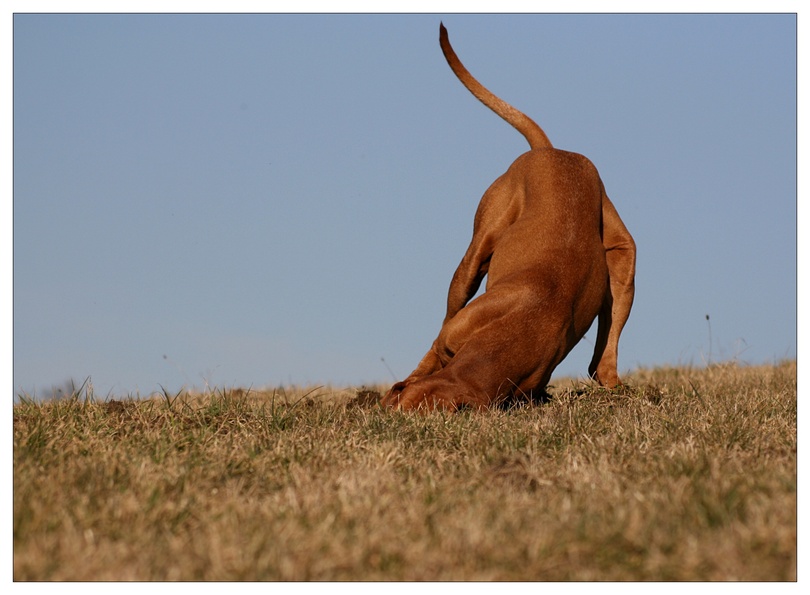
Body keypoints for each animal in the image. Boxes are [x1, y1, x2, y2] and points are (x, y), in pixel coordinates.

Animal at [382, 25, 636, 412]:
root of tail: (550, 150)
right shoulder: (446, 339)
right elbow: (429, 356)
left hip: (623, 262)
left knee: (601, 359)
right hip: (476, 257)